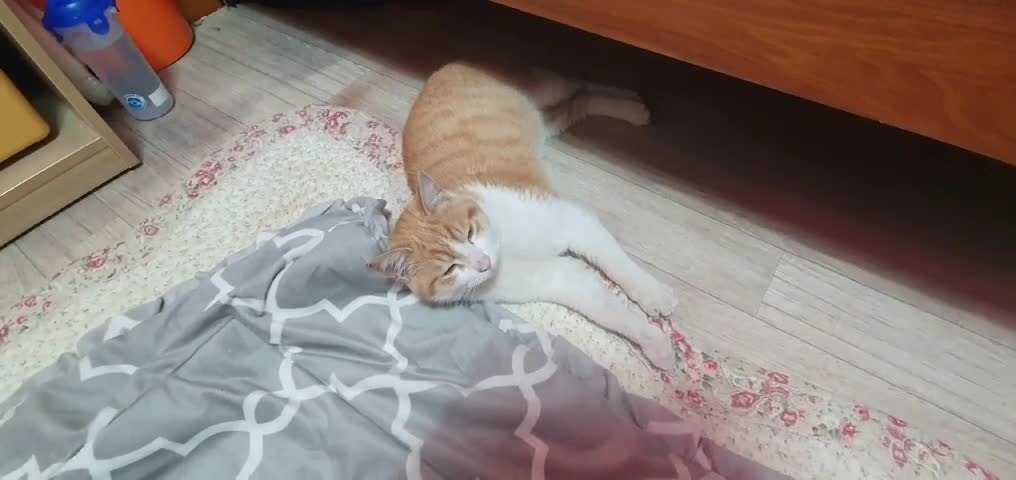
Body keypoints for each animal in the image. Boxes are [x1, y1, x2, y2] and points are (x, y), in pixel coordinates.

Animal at [369, 61, 678, 370]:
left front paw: (654, 294)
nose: (483, 263)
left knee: (577, 82)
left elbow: (620, 265)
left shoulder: (574, 222)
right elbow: (611, 312)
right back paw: (632, 105)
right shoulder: (563, 278)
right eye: (449, 270)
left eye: (469, 233)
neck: (505, 241)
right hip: (543, 120)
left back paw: (630, 102)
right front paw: (654, 342)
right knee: (577, 102)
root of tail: (443, 68)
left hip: (542, 87)